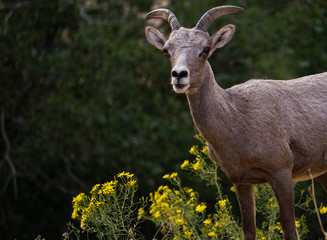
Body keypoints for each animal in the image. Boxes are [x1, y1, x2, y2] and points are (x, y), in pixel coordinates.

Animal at [146, 5, 327, 240]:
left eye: (205, 49)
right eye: (167, 50)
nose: (179, 75)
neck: (238, 120)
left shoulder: (281, 173)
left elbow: (290, 230)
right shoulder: (241, 181)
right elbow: (248, 231)